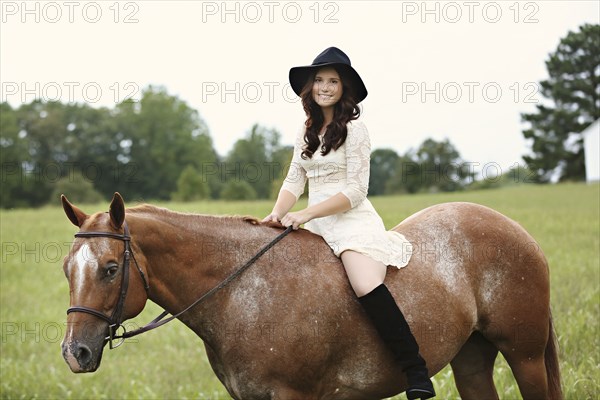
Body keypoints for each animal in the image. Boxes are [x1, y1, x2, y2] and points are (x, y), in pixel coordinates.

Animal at [58, 192, 560, 398]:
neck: (242, 292)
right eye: (68, 269)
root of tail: (515, 229)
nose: (74, 354)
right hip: (472, 358)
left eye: (110, 268)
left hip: (526, 356)